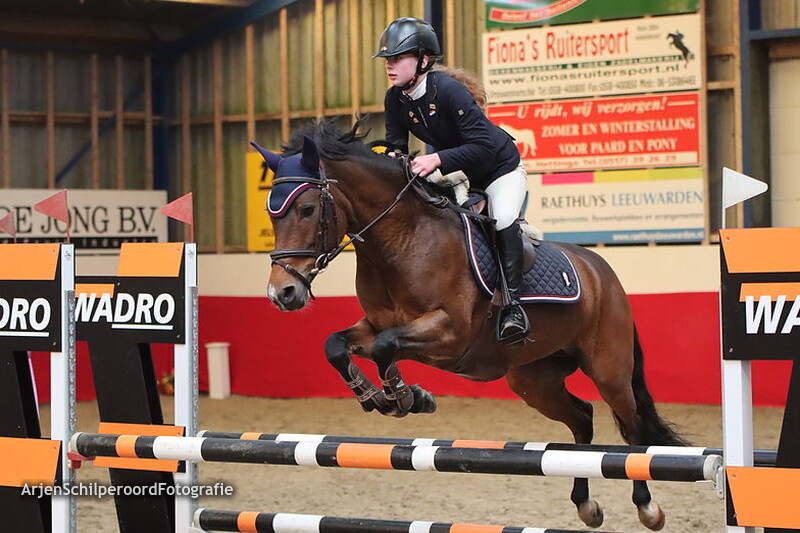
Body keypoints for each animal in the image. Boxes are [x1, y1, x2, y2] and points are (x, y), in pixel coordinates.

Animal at [252, 120, 687, 531]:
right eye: (271, 214)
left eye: (307, 209)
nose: (282, 293)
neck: (401, 239)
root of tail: (603, 273)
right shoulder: (374, 324)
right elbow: (337, 345)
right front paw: (378, 398)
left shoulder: (450, 333)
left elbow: (385, 347)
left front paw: (407, 398)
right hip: (533, 381)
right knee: (582, 419)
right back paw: (586, 505)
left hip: (608, 370)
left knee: (632, 432)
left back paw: (648, 508)